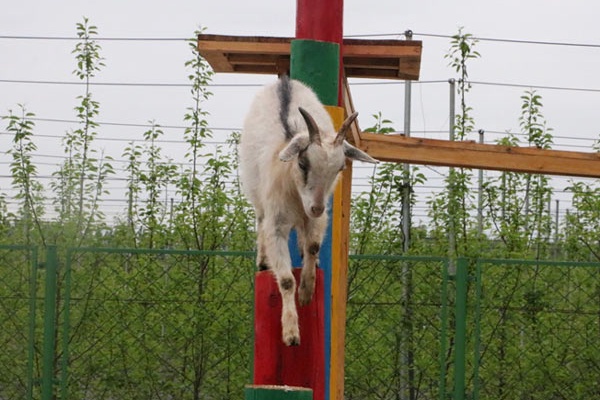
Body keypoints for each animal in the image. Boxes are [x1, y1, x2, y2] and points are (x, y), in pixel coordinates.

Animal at [239, 76, 376, 346]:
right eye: (303, 163)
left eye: (340, 167)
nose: (316, 207)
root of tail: (284, 81)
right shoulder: (276, 224)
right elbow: (285, 279)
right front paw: (291, 333)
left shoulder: (317, 220)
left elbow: (313, 246)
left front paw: (307, 290)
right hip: (257, 196)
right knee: (259, 220)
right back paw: (262, 261)